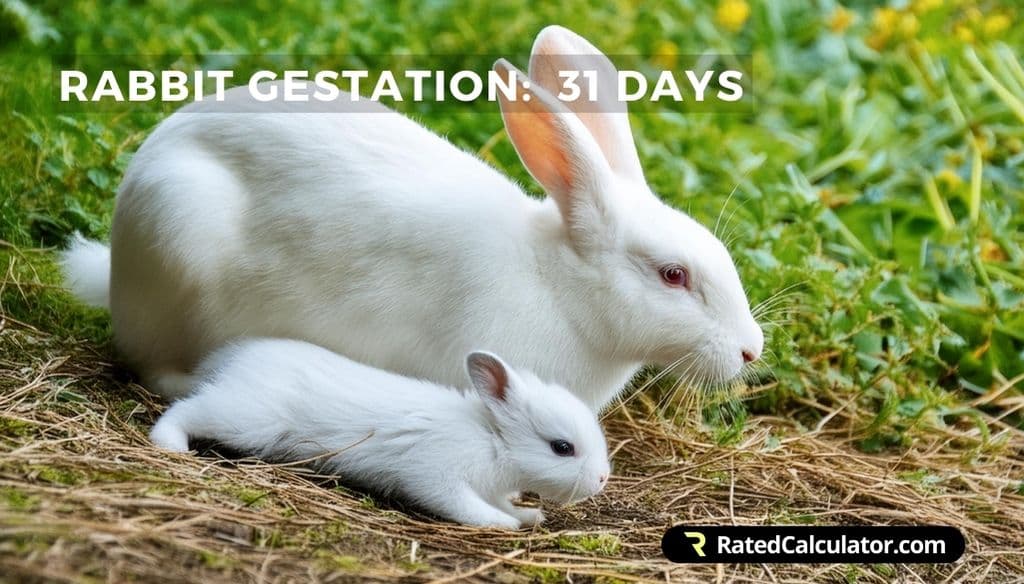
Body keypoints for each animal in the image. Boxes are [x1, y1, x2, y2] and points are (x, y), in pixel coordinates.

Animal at [149, 338, 611, 529]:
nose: (603, 478)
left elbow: (500, 501)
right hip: (246, 418)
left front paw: (528, 515)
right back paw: (169, 443)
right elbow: (466, 507)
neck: (492, 440)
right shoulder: (436, 476)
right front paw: (505, 523)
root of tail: (232, 361)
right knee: (187, 409)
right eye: (562, 448)